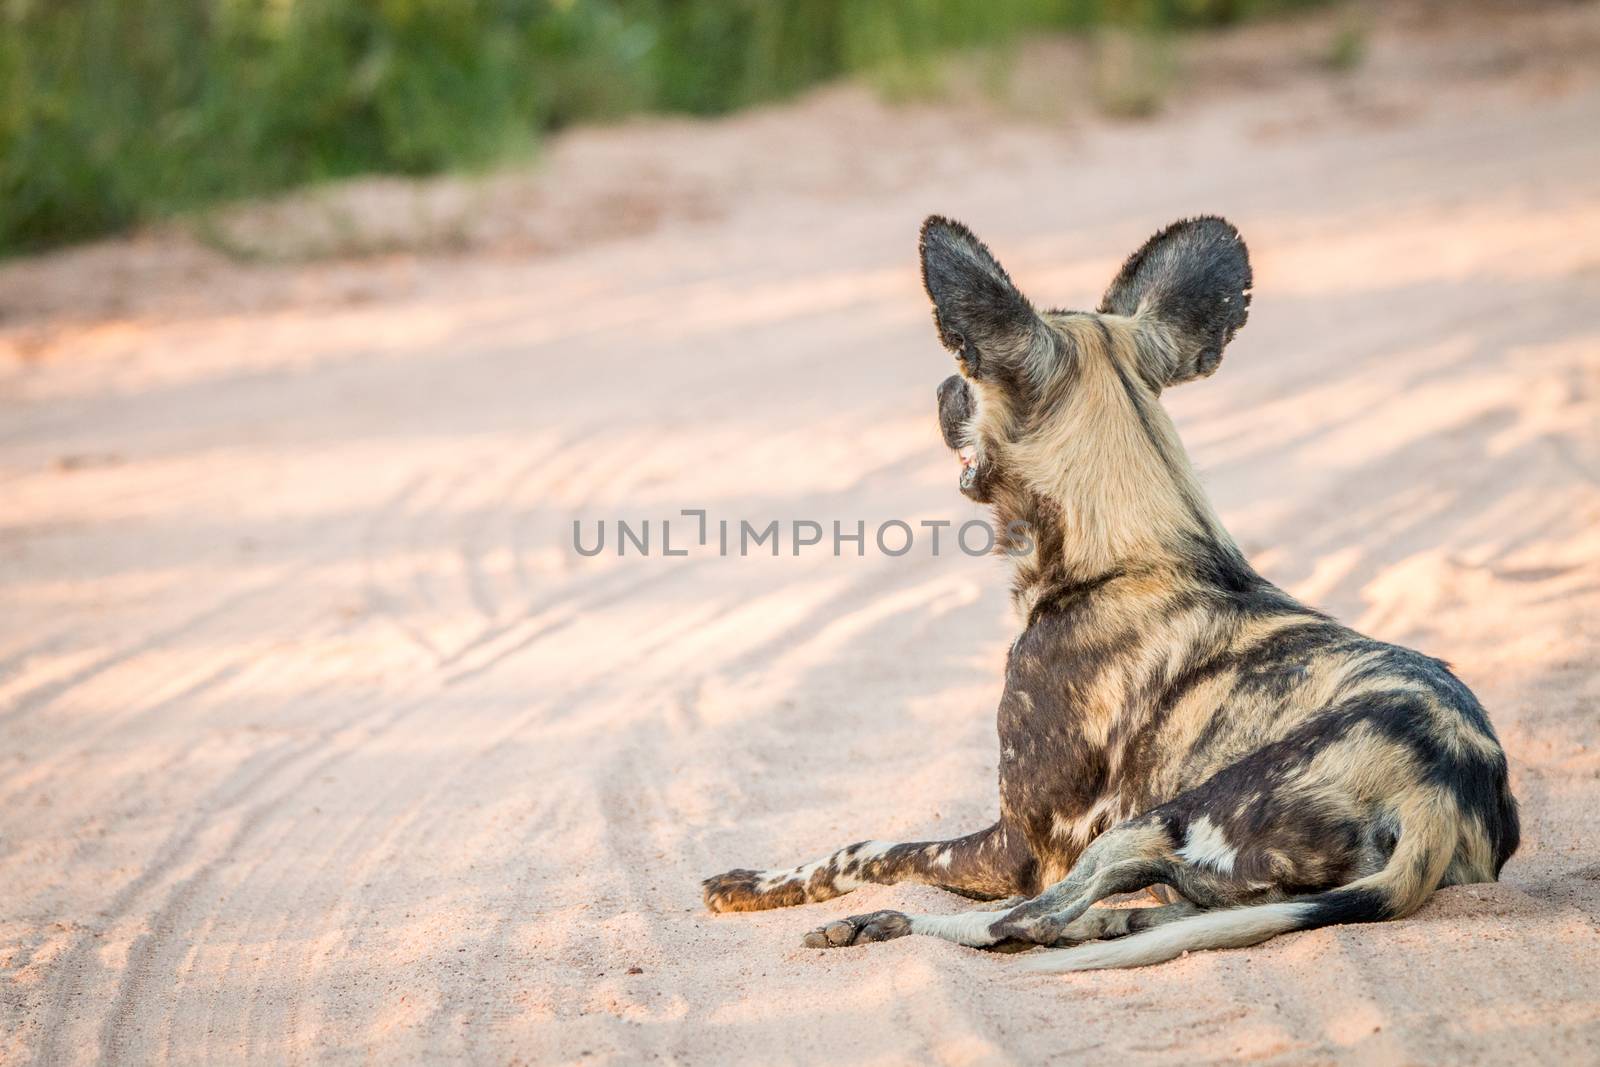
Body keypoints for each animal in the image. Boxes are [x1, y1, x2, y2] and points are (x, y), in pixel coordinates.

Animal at [697, 212, 1510, 972]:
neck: (1131, 550)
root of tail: (1438, 789)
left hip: (1156, 819)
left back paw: (878, 925)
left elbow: (871, 848)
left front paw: (758, 884)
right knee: (1124, 914)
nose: (943, 387)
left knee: (1028, 923)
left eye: (970, 378)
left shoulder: (1019, 848)